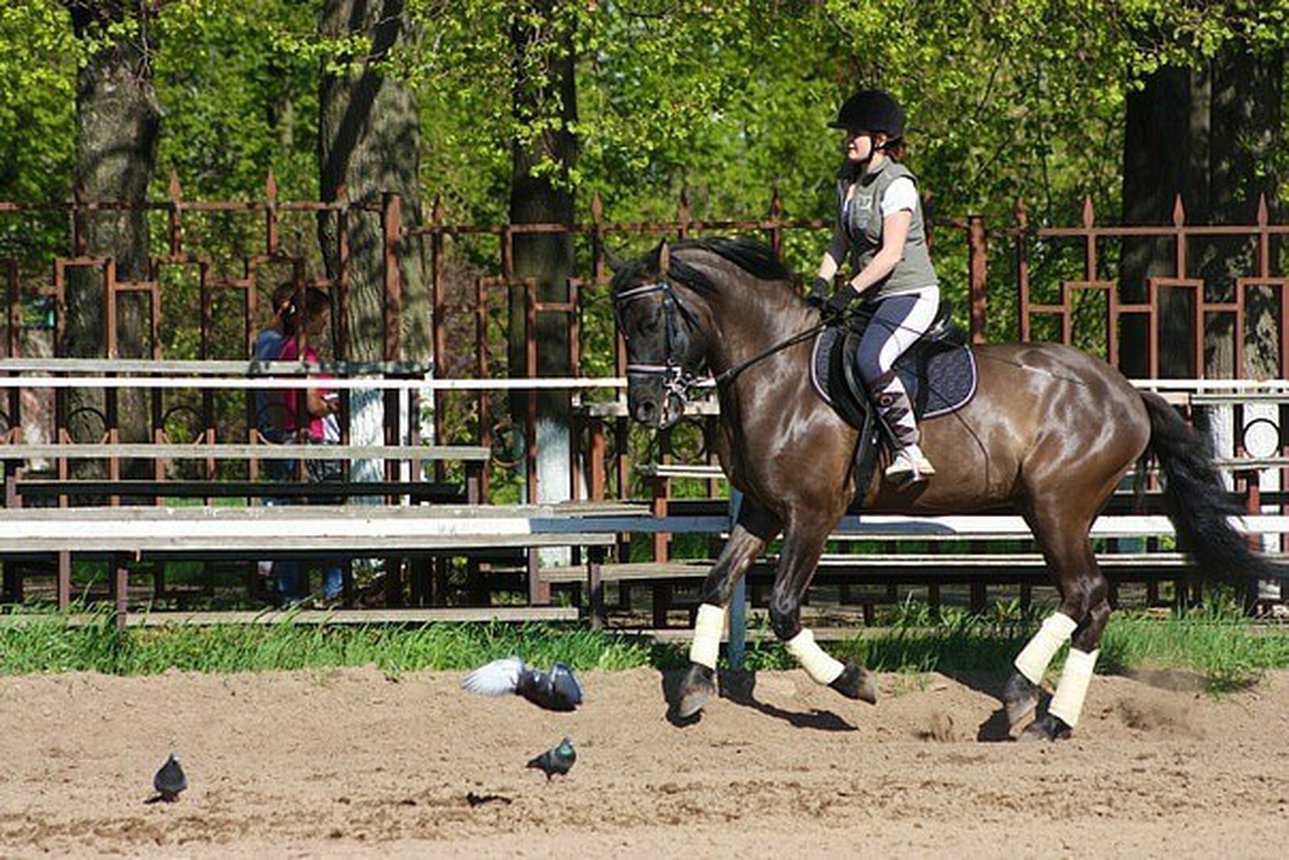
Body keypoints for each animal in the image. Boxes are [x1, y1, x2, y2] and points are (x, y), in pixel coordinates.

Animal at [608, 233, 1283, 742]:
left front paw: (853, 684)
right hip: (1058, 512)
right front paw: (695, 689)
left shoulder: (812, 513)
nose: (644, 407)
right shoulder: (764, 512)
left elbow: (781, 609)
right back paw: (1045, 713)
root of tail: (1128, 392)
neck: (774, 368)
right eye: (624, 324)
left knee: (1086, 595)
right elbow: (718, 584)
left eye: (651, 320)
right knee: (1089, 604)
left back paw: (1030, 701)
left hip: (1055, 508)